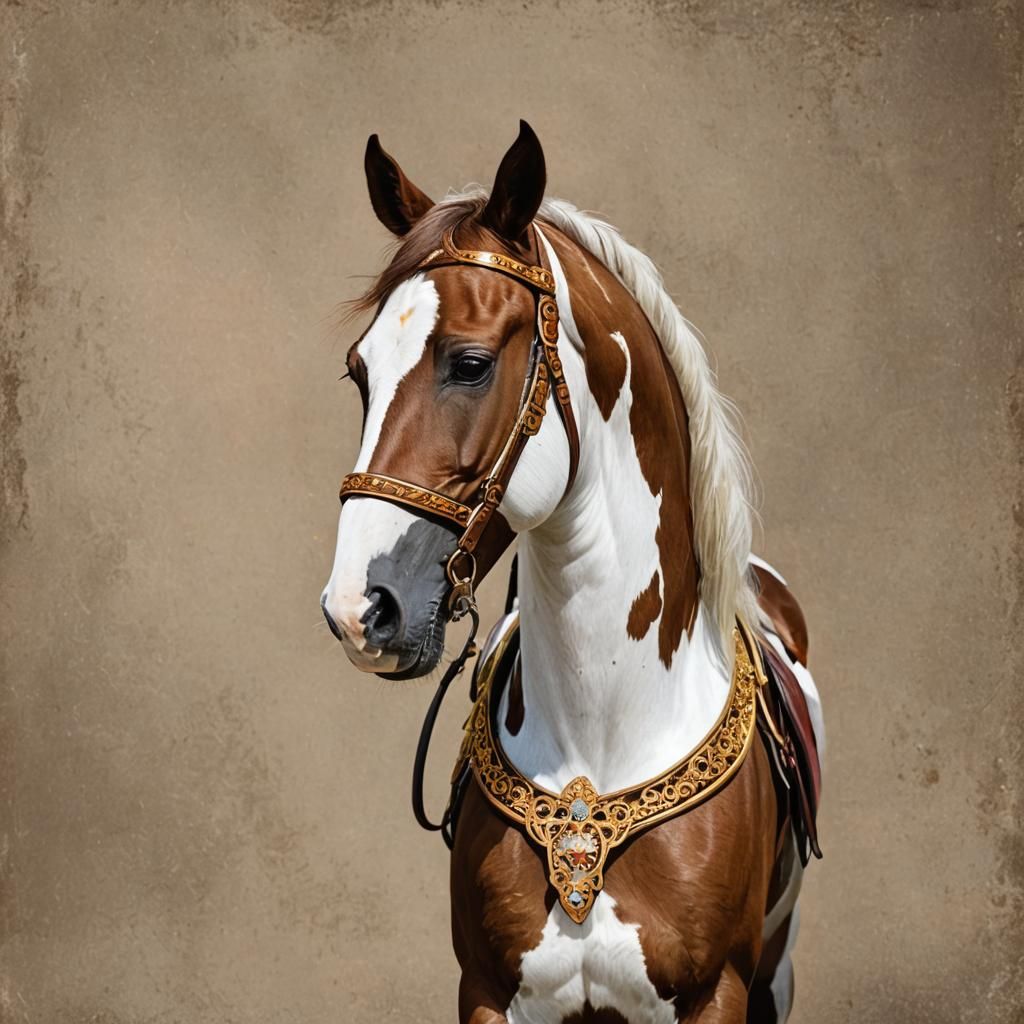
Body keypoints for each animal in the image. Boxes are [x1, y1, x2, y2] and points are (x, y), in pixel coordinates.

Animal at [320, 121, 825, 1024]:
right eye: (360, 370)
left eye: (470, 364)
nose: (357, 610)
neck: (602, 743)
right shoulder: (487, 992)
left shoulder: (722, 994)